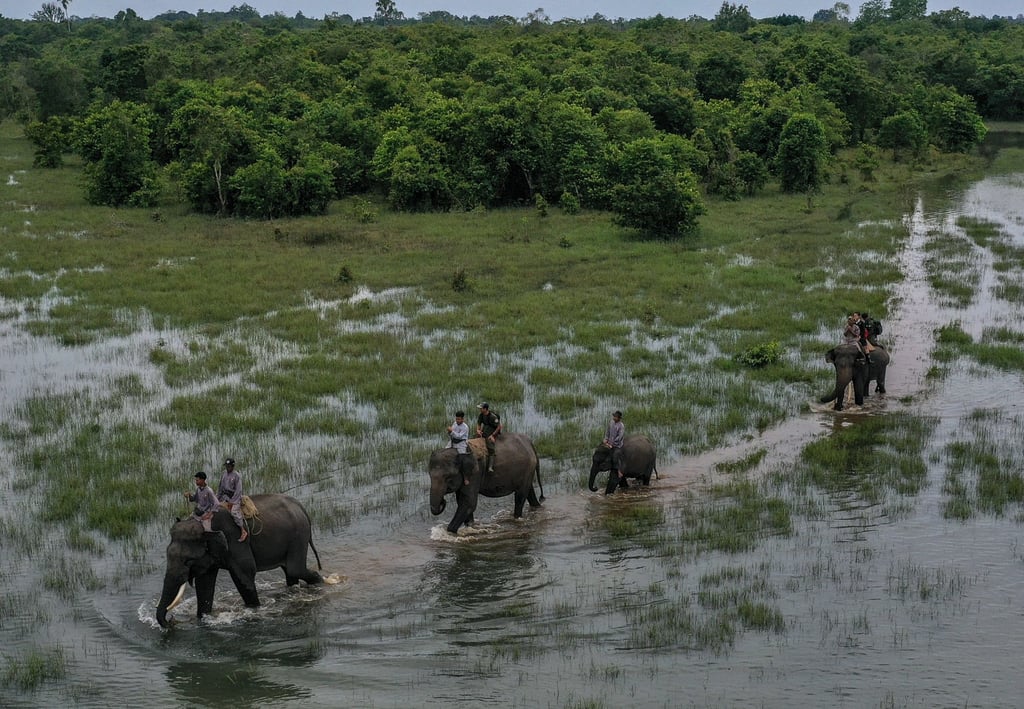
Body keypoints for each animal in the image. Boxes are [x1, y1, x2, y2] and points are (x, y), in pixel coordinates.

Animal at [155, 493, 323, 627]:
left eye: (188, 561)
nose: (171, 621)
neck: (203, 523)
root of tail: (301, 507)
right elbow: (204, 584)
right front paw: (203, 618)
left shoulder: (236, 541)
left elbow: (244, 577)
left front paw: (253, 610)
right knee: (290, 572)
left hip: (298, 536)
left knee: (295, 569)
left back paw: (320, 582)